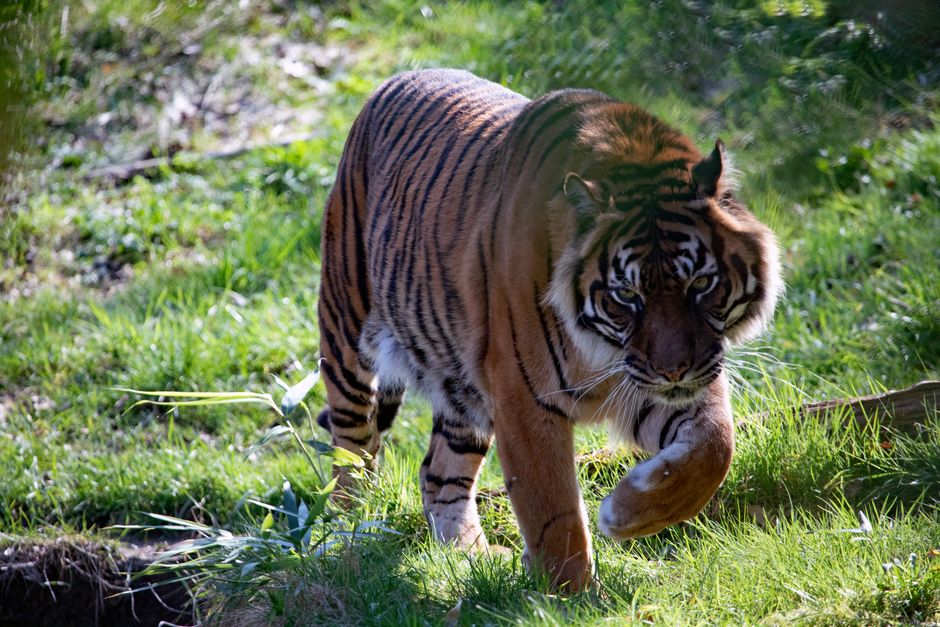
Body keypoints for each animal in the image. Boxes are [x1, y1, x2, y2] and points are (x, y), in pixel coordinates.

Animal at [316, 68, 781, 591]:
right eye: (627, 295)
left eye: (700, 284)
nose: (674, 371)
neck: (601, 349)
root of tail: (399, 77)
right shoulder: (525, 398)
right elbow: (551, 508)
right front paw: (569, 594)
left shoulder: (656, 380)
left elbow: (715, 446)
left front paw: (627, 514)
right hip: (346, 335)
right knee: (351, 454)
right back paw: (348, 536)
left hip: (462, 391)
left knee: (438, 471)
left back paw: (469, 554)